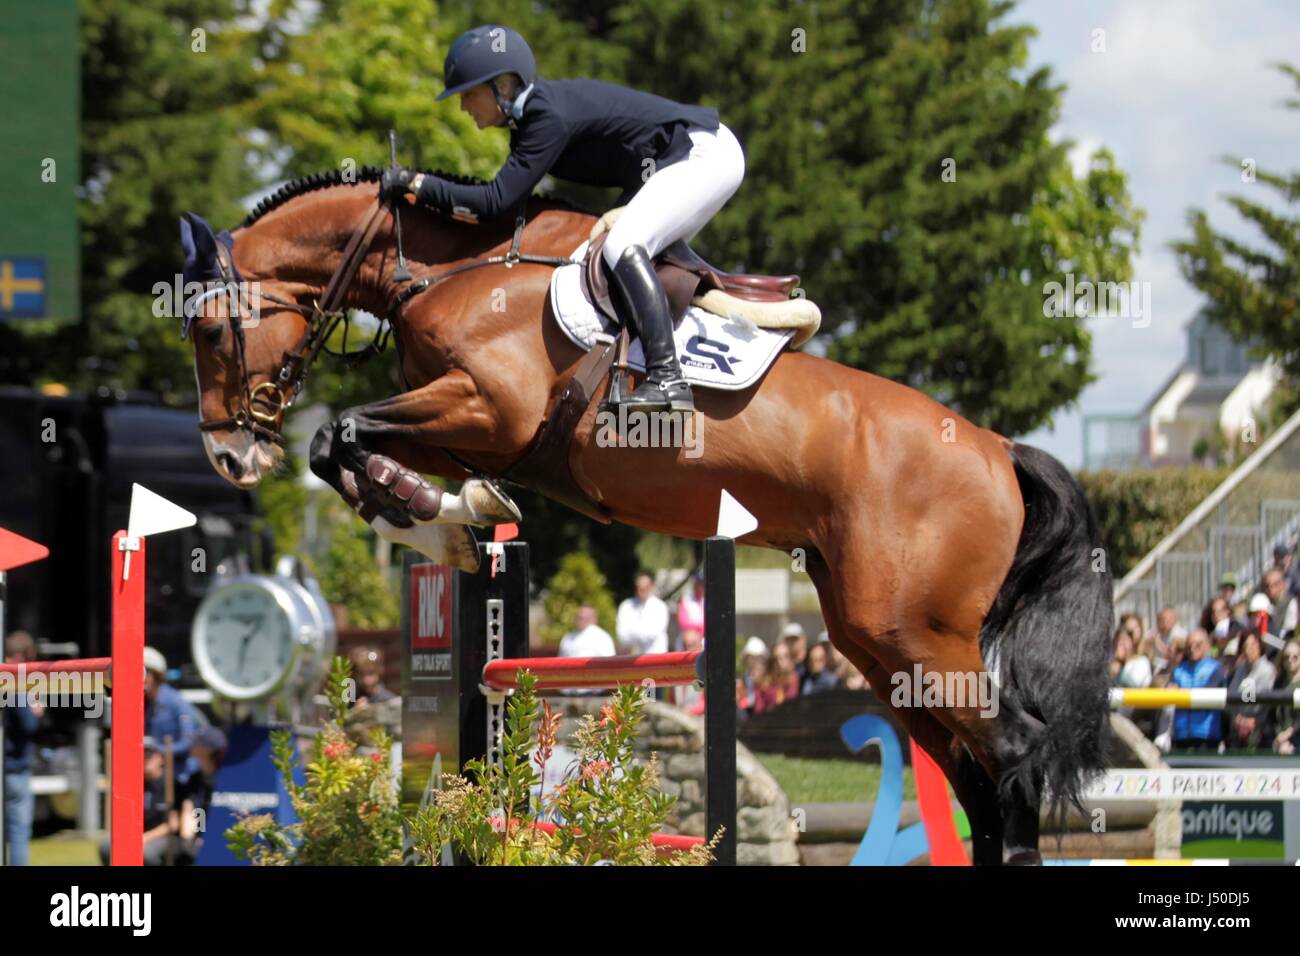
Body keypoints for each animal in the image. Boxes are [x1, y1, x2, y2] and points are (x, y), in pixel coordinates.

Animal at [183, 166, 1112, 868]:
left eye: (211, 332)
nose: (230, 457)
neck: (457, 272)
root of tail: (996, 448)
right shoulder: (459, 429)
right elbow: (342, 449)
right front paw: (455, 518)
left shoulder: (487, 411)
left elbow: (340, 434)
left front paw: (449, 517)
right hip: (880, 646)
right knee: (977, 775)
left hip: (914, 634)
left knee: (1014, 751)